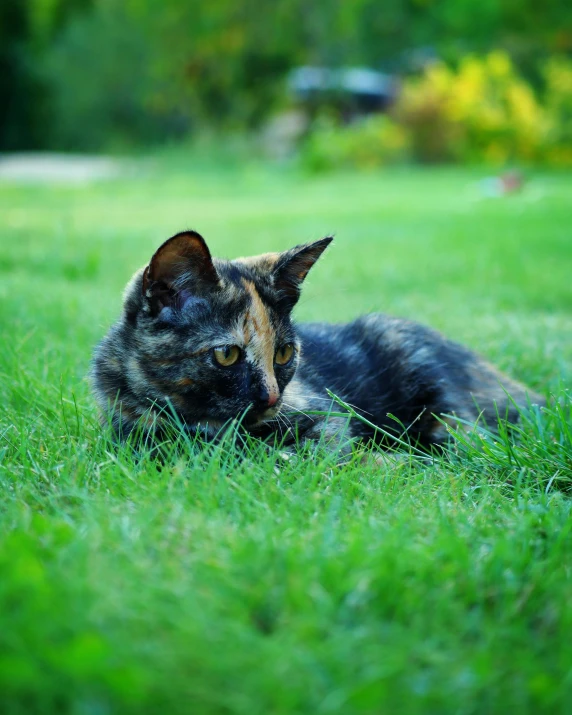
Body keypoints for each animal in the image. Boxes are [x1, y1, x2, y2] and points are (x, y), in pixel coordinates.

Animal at [91, 229, 544, 454]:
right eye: (227, 354)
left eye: (284, 353)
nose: (271, 398)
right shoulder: (131, 430)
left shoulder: (324, 414)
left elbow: (306, 451)